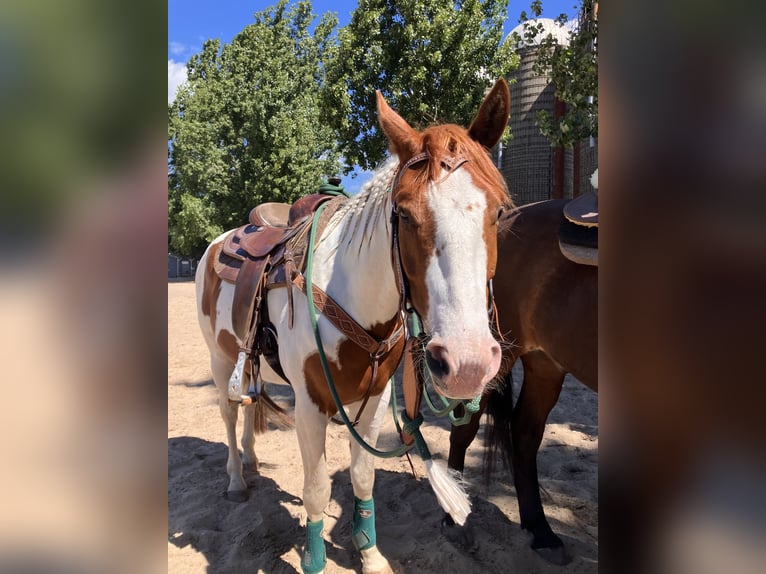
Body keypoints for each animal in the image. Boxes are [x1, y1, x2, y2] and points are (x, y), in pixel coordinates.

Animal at [195, 80, 512, 574]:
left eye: (497, 212)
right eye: (404, 213)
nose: (467, 364)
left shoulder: (375, 399)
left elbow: (363, 477)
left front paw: (369, 553)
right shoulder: (310, 405)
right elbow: (316, 488)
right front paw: (314, 560)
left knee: (248, 404)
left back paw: (251, 461)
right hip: (218, 356)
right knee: (229, 414)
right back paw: (234, 478)